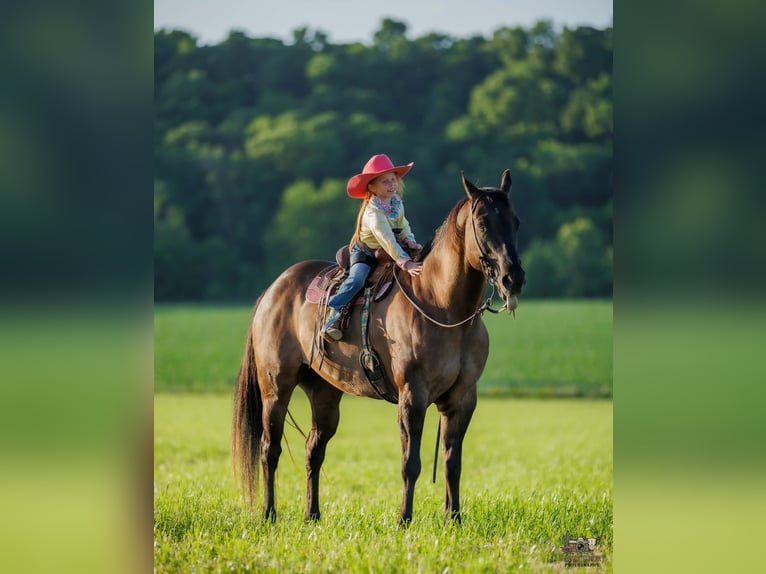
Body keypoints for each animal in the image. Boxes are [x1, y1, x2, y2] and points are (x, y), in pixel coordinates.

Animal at [232, 169, 525, 524]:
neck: (443, 307)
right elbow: (410, 463)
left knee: (314, 450)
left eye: (515, 221)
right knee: (269, 449)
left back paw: (312, 514)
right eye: (482, 223)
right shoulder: (413, 397)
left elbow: (452, 463)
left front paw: (453, 519)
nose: (513, 278)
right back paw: (269, 514)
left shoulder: (462, 399)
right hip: (276, 388)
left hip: (324, 393)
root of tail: (274, 290)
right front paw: (404, 519)